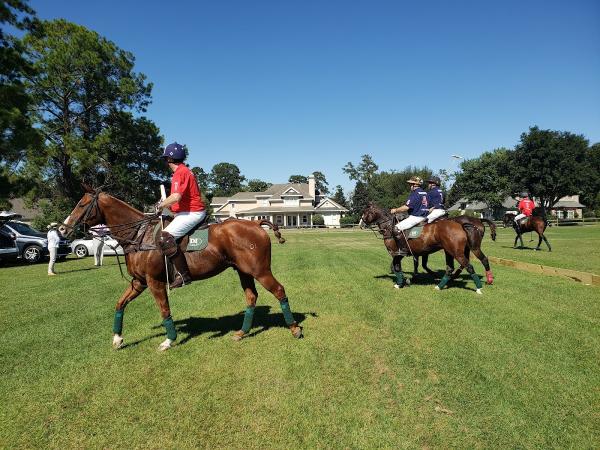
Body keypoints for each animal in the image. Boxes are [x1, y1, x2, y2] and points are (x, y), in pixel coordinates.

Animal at [60, 186, 302, 352]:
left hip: (260, 271)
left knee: (279, 290)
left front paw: (168, 340)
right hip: (243, 271)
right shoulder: (139, 282)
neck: (139, 236)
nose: (62, 229)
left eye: (81, 204)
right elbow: (120, 304)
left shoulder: (154, 281)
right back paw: (242, 332)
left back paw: (294, 329)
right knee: (251, 297)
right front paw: (117, 339)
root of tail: (255, 223)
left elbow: (164, 310)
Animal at [358, 203, 490, 294]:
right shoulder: (404, 254)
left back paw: (479, 288)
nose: (361, 224)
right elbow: (399, 267)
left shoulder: (397, 253)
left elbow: (396, 267)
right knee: (450, 268)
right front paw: (404, 281)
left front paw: (402, 282)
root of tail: (461, 225)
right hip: (449, 251)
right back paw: (439, 286)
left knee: (470, 265)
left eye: (365, 212)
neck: (389, 227)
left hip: (458, 252)